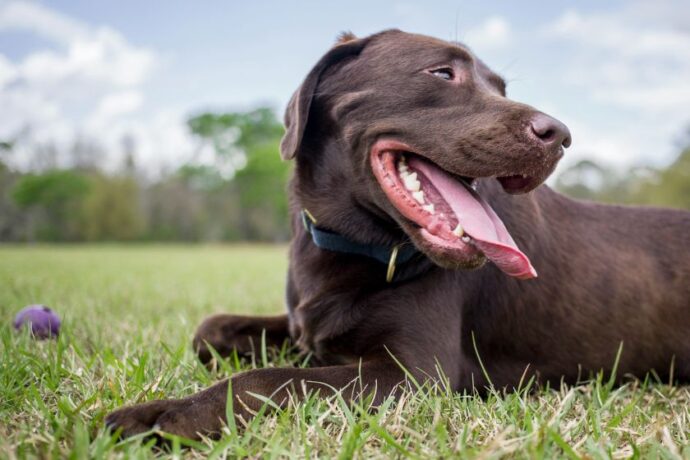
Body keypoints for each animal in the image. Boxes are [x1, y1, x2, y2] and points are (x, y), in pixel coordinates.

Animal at [103, 30, 688, 440]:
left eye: (499, 88)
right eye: (442, 72)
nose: (561, 135)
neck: (353, 244)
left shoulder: (414, 376)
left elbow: (268, 379)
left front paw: (164, 415)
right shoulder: (304, 327)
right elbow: (211, 328)